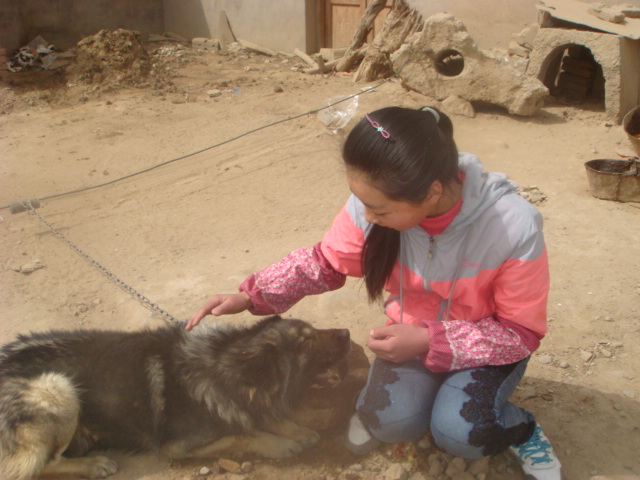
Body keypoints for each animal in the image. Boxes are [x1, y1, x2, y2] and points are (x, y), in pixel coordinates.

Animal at [0, 315, 351, 479]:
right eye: (306, 342)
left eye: (313, 329)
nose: (347, 333)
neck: (222, 364)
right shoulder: (176, 447)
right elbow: (242, 434)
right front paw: (278, 442)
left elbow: (266, 416)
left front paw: (296, 429)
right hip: (57, 388)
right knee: (33, 467)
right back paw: (93, 464)